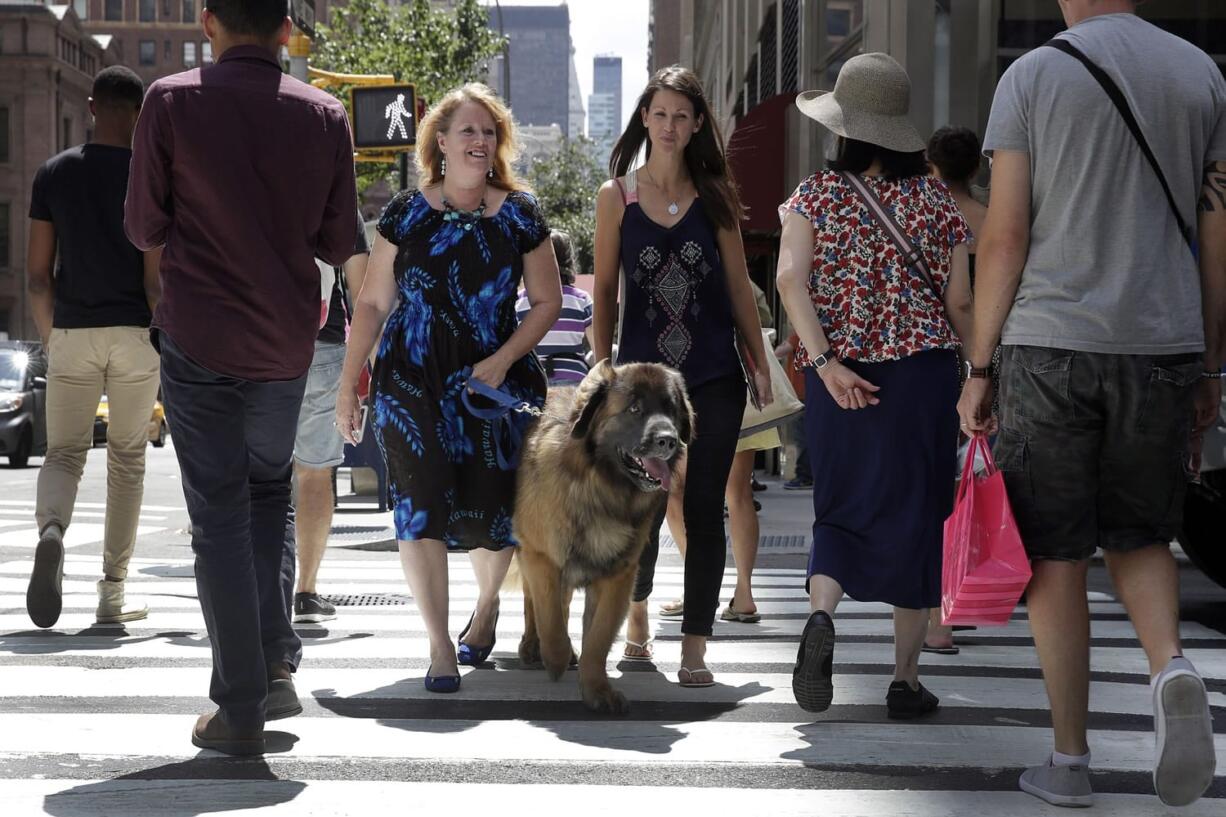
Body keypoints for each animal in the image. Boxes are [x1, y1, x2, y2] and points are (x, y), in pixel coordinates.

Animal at [512, 360, 696, 711]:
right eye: (635, 409)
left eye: (670, 408)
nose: (667, 440)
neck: (602, 489)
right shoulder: (542, 557)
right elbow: (550, 621)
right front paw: (556, 658)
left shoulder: (617, 576)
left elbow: (596, 639)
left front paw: (597, 689)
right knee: (533, 600)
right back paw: (533, 646)